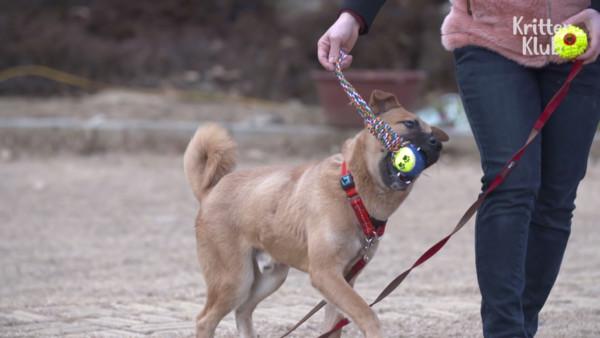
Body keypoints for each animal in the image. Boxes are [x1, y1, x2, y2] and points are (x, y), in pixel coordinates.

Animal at [185, 90, 448, 338]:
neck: (352, 192)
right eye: (409, 123)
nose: (438, 144)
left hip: (269, 279)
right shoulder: (326, 274)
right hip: (235, 280)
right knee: (205, 320)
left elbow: (334, 327)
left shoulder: (343, 280)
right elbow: (367, 313)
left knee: (242, 311)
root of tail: (209, 192)